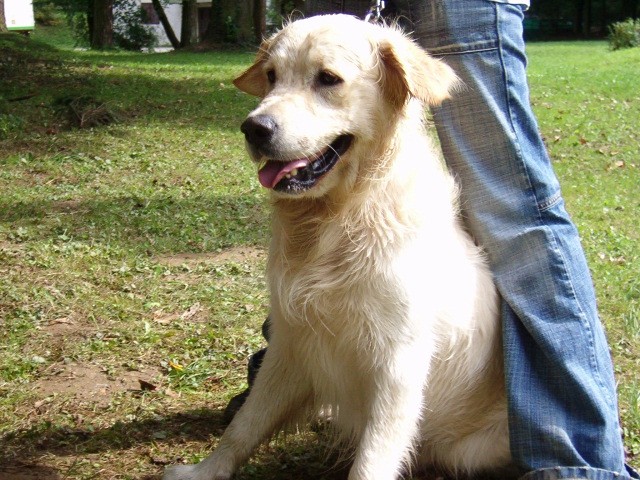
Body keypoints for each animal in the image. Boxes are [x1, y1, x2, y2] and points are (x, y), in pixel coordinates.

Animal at [164, 13, 510, 478]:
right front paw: (206, 470)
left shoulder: (398, 362)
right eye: (271, 76)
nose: (254, 128)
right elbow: (244, 425)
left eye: (327, 78)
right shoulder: (291, 341)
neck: (338, 218)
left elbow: (372, 459)